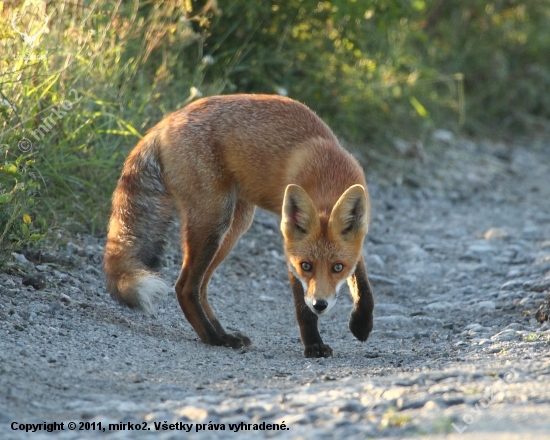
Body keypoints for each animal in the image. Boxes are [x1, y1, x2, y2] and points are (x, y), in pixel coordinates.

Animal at [104, 93, 376, 358]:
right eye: (306, 266)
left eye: (338, 267)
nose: (320, 305)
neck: (327, 175)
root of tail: (165, 122)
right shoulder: (290, 249)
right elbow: (302, 306)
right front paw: (313, 345)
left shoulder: (357, 238)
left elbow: (363, 285)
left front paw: (362, 324)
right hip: (215, 220)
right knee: (185, 287)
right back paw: (213, 338)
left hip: (234, 225)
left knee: (201, 287)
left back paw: (222, 333)